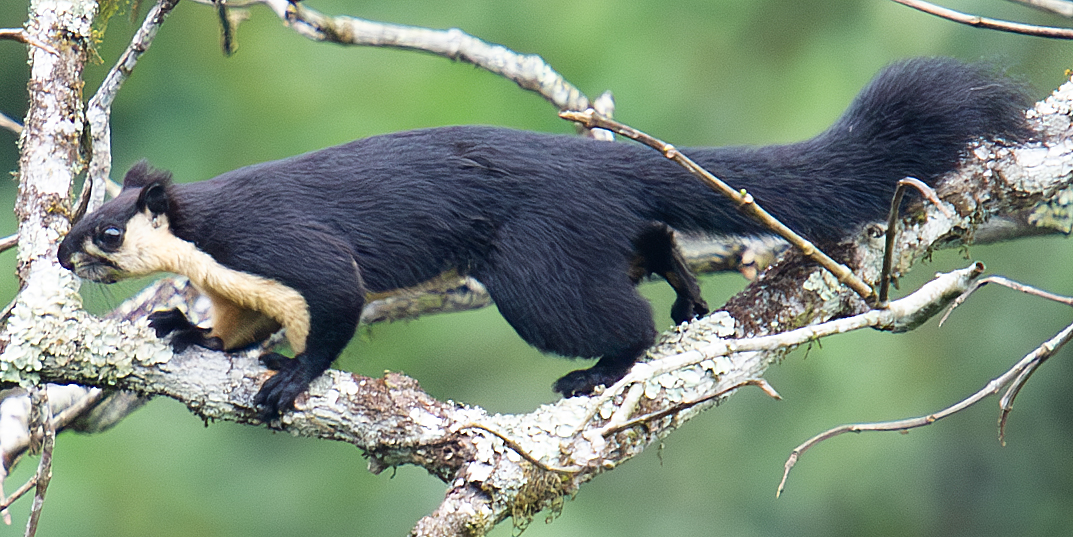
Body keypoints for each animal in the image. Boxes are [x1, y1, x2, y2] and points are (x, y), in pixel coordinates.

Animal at [56, 58, 1030, 418]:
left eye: (102, 231)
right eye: (71, 221)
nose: (61, 254)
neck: (204, 241)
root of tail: (596, 164)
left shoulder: (283, 244)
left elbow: (330, 306)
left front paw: (288, 381)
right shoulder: (240, 281)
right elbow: (234, 326)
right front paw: (181, 328)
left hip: (533, 271)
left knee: (625, 320)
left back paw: (595, 372)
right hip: (587, 243)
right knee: (653, 243)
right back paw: (688, 294)